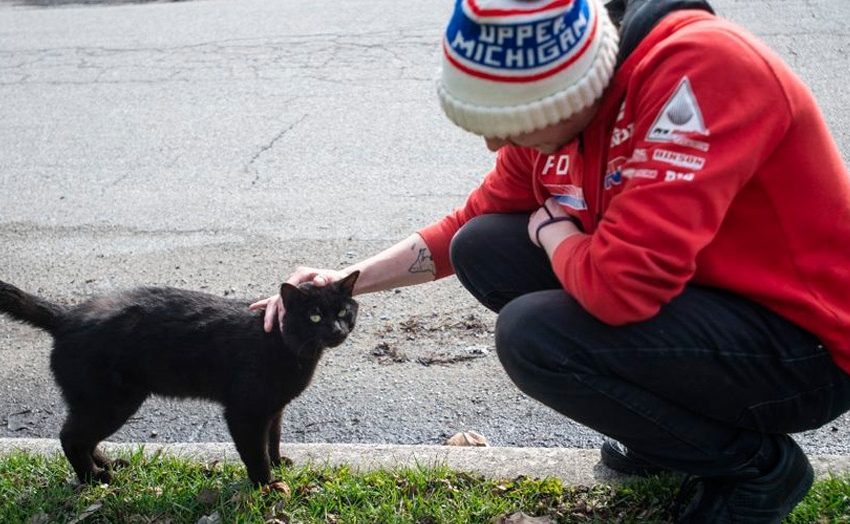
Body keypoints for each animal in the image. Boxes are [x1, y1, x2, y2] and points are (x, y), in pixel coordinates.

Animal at [0, 272, 354, 486]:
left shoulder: (274, 410)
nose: (337, 330)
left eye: (342, 312)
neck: (282, 341)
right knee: (70, 437)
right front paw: (266, 485)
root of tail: (66, 316)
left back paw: (108, 465)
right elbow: (256, 453)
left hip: (100, 404)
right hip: (111, 403)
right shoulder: (245, 413)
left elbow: (273, 439)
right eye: (315, 316)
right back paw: (96, 478)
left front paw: (279, 464)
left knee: (82, 437)